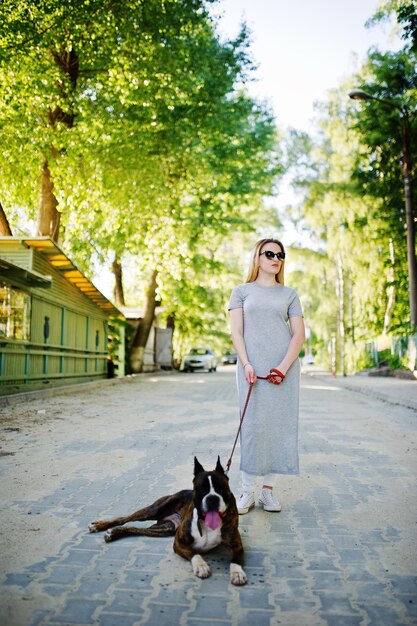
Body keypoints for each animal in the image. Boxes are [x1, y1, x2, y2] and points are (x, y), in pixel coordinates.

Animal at [88, 454, 244, 584]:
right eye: (201, 490)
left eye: (222, 489)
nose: (212, 498)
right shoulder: (179, 543)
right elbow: (194, 553)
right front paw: (201, 566)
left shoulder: (237, 544)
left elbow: (236, 559)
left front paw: (237, 573)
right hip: (154, 510)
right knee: (124, 518)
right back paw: (100, 526)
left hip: (164, 528)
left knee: (134, 529)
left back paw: (113, 533)